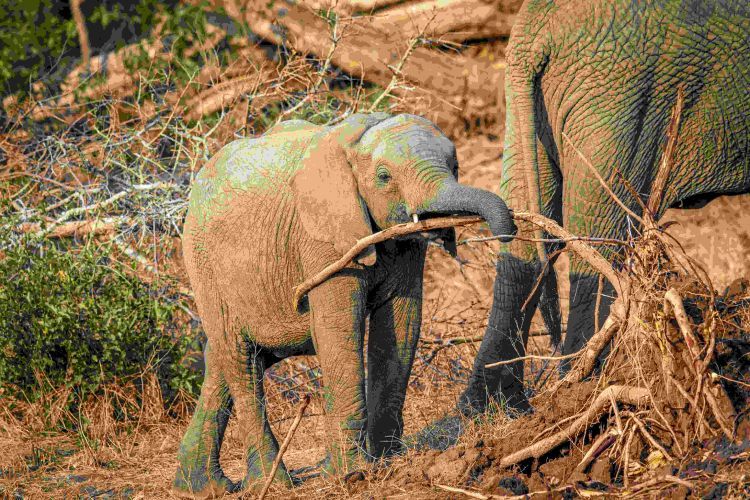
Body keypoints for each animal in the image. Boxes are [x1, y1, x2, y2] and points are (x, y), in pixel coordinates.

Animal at [172, 112, 516, 497]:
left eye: (455, 166)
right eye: (384, 177)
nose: (507, 233)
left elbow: (402, 322)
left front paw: (388, 462)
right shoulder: (323, 240)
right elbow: (337, 326)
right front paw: (352, 475)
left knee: (223, 357)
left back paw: (200, 488)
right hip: (203, 263)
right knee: (239, 358)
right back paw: (273, 483)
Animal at [454, 0, 750, 419]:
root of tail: (532, 34)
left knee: (522, 228)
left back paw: (490, 410)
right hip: (622, 101)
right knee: (598, 237)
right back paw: (583, 392)